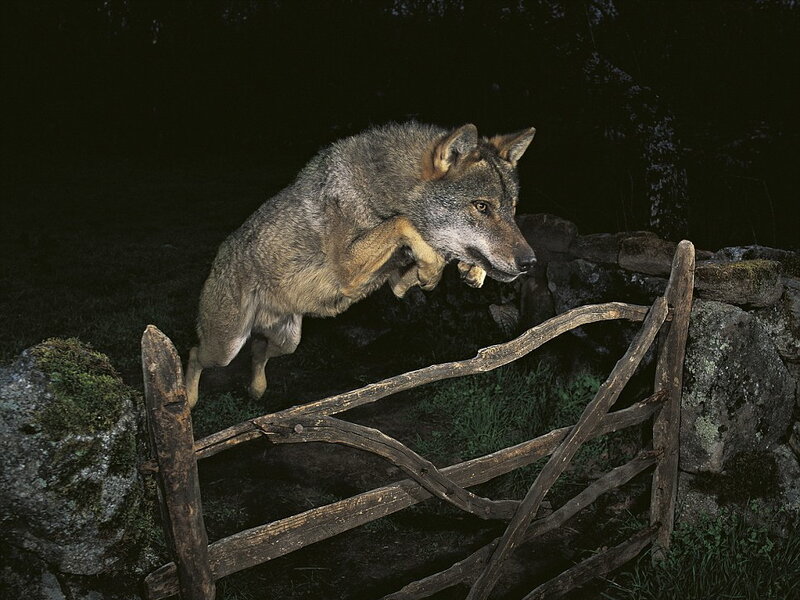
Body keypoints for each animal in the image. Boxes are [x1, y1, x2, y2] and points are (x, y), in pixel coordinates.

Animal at [185, 122, 537, 408]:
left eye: (511, 209)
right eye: (481, 206)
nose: (530, 262)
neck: (384, 190)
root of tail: (220, 255)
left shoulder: (394, 282)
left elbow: (425, 257)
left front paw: (468, 270)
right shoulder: (349, 268)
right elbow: (403, 222)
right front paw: (434, 266)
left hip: (287, 342)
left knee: (258, 351)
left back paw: (256, 390)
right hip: (225, 347)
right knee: (194, 354)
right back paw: (186, 401)